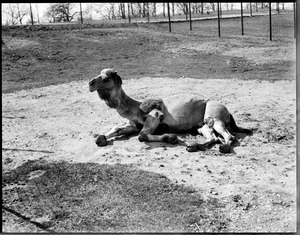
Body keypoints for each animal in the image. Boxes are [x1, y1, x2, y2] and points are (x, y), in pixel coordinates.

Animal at [88, 68, 251, 153]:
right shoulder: (134, 124)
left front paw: (171, 138)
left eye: (105, 78)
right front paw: (101, 138)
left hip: (214, 116)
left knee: (229, 136)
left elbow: (142, 135)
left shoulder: (155, 115)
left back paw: (224, 147)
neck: (135, 107)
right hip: (202, 125)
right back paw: (194, 146)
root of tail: (228, 111)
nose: (90, 83)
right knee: (212, 136)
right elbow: (118, 128)